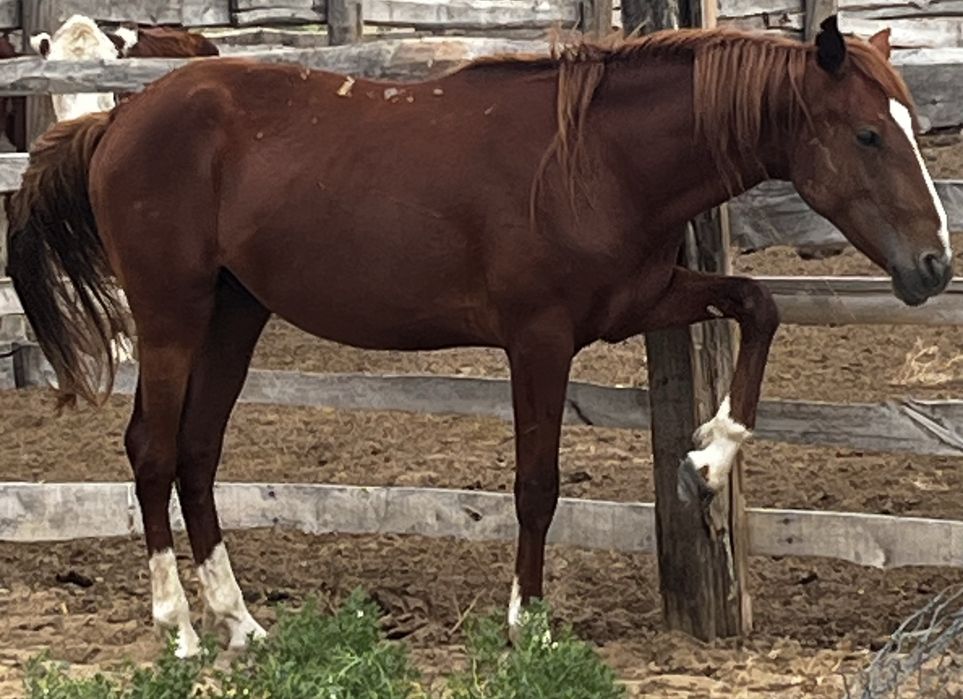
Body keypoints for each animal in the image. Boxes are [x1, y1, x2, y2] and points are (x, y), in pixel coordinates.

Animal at [5, 16, 951, 656]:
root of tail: (116, 120)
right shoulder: (539, 339)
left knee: (198, 451)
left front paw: (707, 459)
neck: (593, 159)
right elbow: (536, 484)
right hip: (172, 313)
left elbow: (758, 305)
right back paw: (180, 629)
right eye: (868, 133)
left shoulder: (637, 301)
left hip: (237, 312)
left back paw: (242, 622)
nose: (933, 265)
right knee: (152, 449)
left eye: (907, 122)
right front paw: (526, 621)